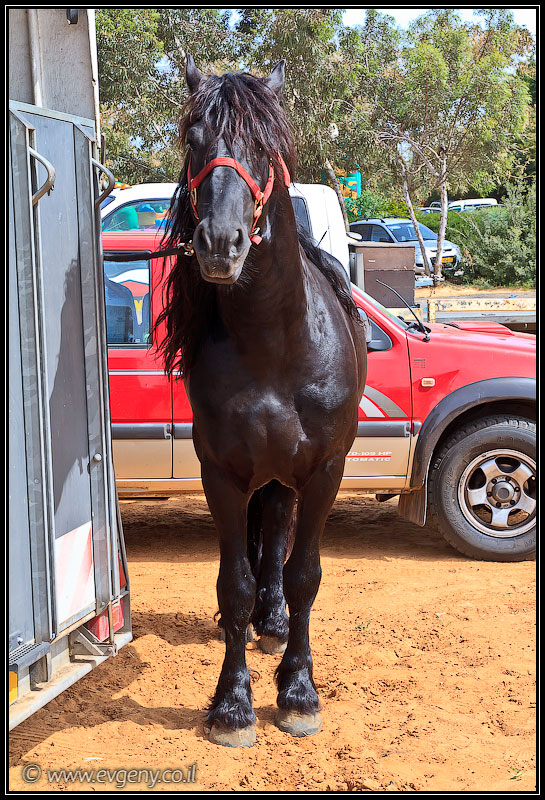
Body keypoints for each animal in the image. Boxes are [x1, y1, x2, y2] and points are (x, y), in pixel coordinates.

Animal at [155, 55, 367, 747]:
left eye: (264, 147)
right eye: (193, 141)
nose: (220, 244)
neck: (275, 344)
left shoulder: (324, 470)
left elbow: (303, 575)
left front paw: (298, 693)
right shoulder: (220, 472)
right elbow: (235, 583)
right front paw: (232, 704)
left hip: (287, 473)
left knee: (276, 533)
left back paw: (273, 628)